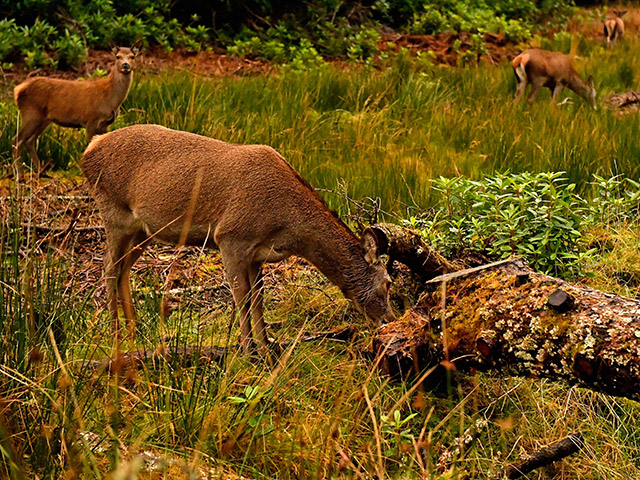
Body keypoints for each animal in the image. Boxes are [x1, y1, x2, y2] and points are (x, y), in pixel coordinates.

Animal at [12, 45, 139, 174]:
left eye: (132, 57)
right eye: (118, 56)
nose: (125, 65)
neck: (111, 98)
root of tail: (18, 89)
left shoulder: (105, 124)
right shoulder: (91, 120)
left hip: (43, 119)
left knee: (29, 141)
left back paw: (41, 171)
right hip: (31, 114)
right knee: (16, 140)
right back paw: (20, 173)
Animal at [80, 124, 396, 354]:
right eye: (388, 282)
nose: (390, 320)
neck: (289, 225)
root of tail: (90, 148)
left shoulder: (257, 254)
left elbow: (258, 298)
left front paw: (266, 346)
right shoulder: (231, 237)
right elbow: (241, 296)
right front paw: (246, 349)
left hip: (143, 231)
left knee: (123, 268)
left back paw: (133, 332)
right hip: (113, 211)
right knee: (108, 266)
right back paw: (116, 333)